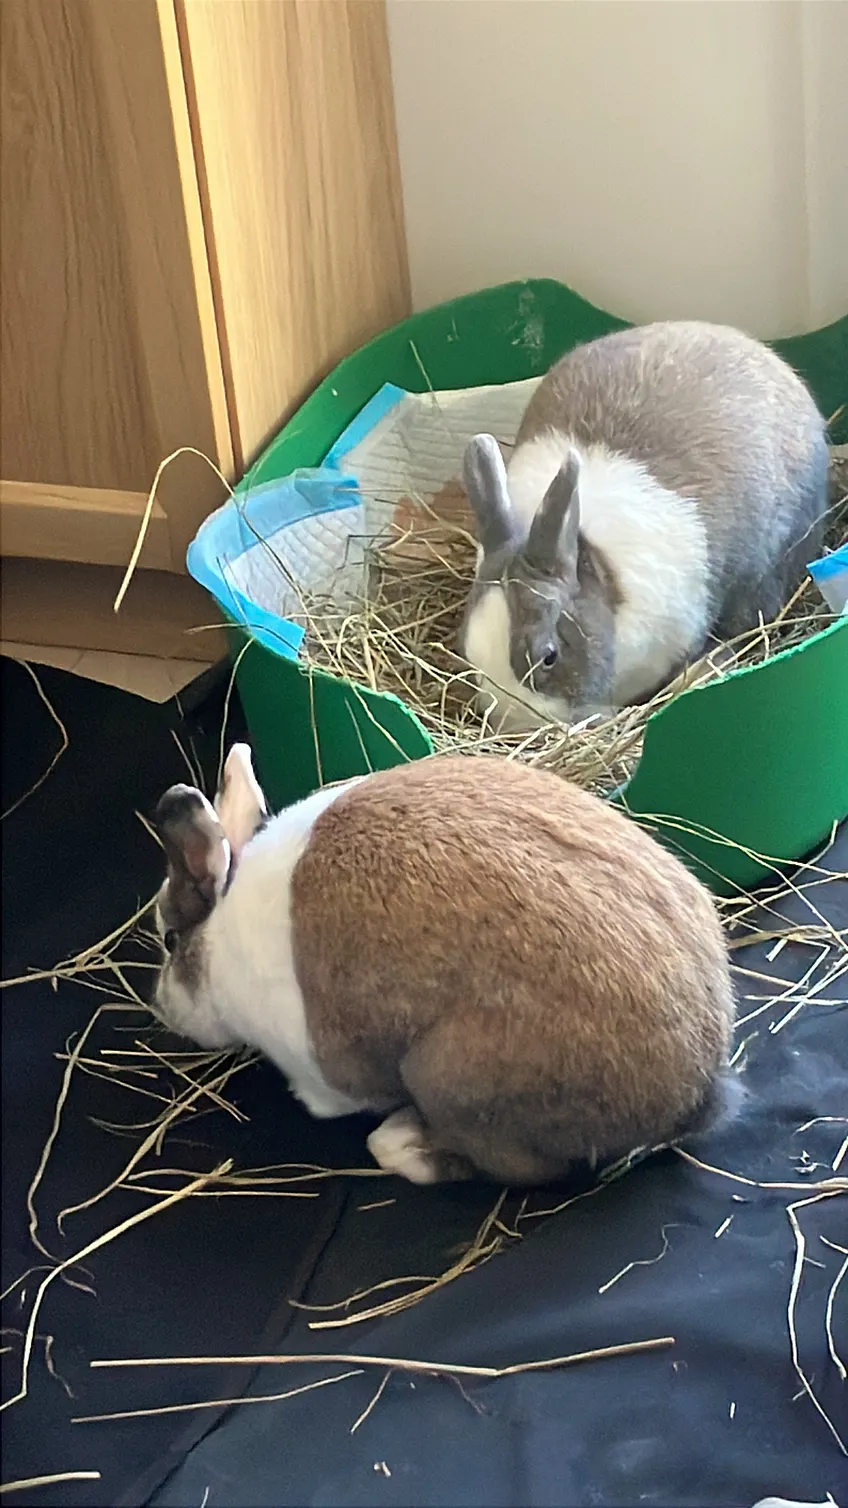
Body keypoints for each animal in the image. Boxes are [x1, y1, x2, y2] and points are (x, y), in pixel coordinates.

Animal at [152, 742, 736, 1187]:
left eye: (169, 939)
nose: (161, 1005)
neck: (221, 935)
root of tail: (695, 1089)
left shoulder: (322, 1071)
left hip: (452, 1080)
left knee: (522, 1170)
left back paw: (406, 1145)